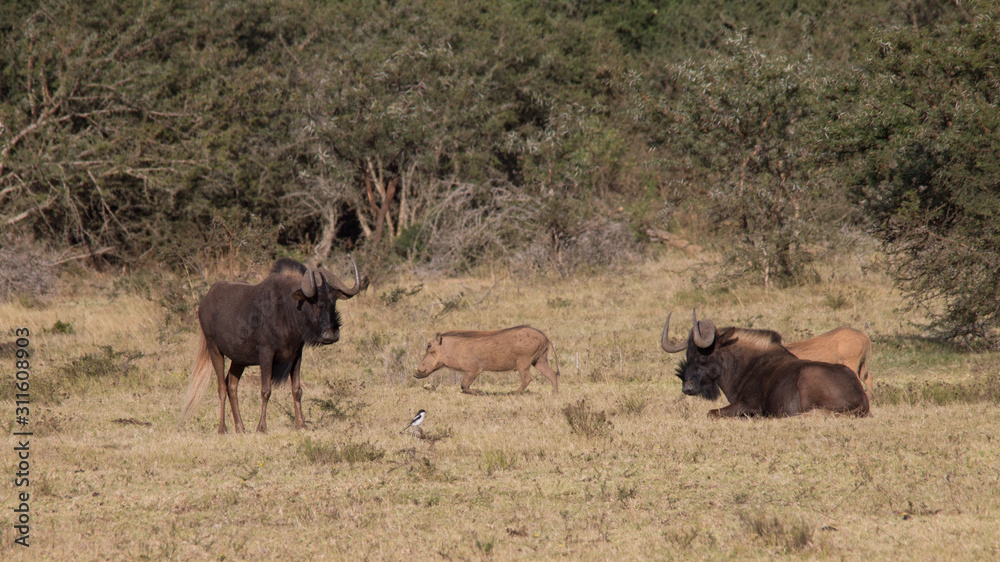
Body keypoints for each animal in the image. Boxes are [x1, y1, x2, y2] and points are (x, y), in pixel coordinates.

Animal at [410, 324, 560, 394]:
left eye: (429, 347)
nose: (415, 373)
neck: (450, 348)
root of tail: (543, 335)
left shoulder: (473, 369)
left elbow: (464, 386)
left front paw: (480, 392)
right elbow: (464, 386)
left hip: (524, 361)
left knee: (527, 379)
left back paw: (513, 394)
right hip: (539, 360)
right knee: (552, 374)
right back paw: (554, 394)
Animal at [664, 310, 868, 416]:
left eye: (703, 356)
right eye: (688, 353)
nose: (687, 387)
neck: (747, 365)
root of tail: (862, 397)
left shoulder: (748, 405)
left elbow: (712, 413)